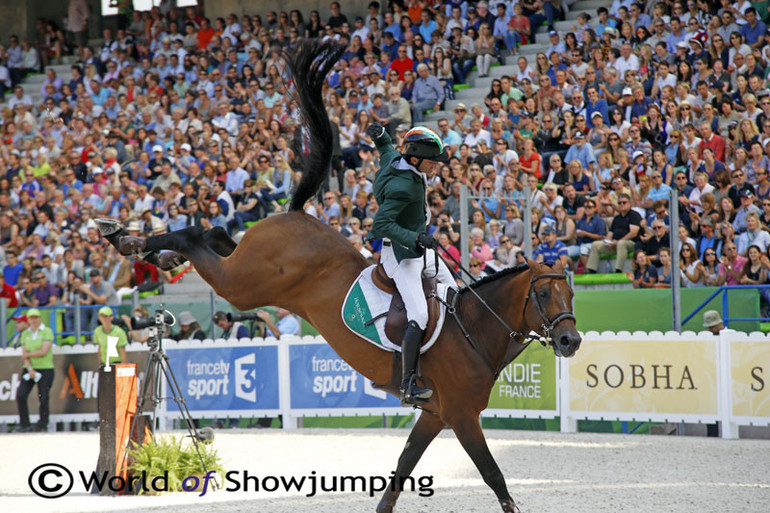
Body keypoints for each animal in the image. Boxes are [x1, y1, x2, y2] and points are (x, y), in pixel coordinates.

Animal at [96, 41, 580, 512]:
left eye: (570, 295)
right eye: (543, 295)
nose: (571, 340)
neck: (473, 331)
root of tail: (294, 214)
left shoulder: (434, 415)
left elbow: (402, 468)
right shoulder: (460, 417)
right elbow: (493, 476)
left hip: (245, 273)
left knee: (214, 233)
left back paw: (150, 253)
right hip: (244, 286)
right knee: (198, 236)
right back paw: (126, 239)